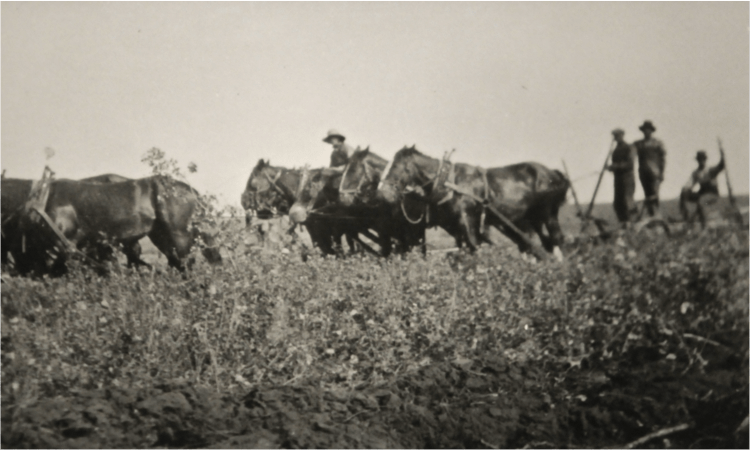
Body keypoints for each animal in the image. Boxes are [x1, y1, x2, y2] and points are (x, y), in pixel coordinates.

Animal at [378, 146, 568, 258]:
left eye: (396, 166)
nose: (383, 192)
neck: (451, 183)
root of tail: (553, 173)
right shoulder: (457, 227)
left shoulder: (467, 221)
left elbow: (474, 248)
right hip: (528, 220)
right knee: (536, 243)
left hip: (547, 214)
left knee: (555, 240)